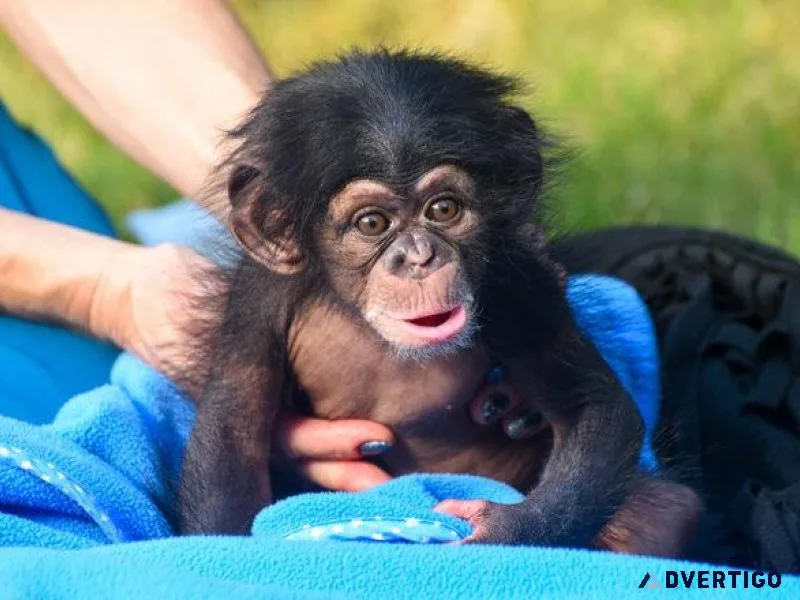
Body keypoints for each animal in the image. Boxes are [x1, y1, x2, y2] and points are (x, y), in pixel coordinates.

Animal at [178, 49, 701, 551]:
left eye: (444, 209)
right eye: (372, 223)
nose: (419, 256)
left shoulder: (519, 282)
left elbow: (592, 405)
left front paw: (501, 532)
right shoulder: (257, 297)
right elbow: (234, 431)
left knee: (661, 516)